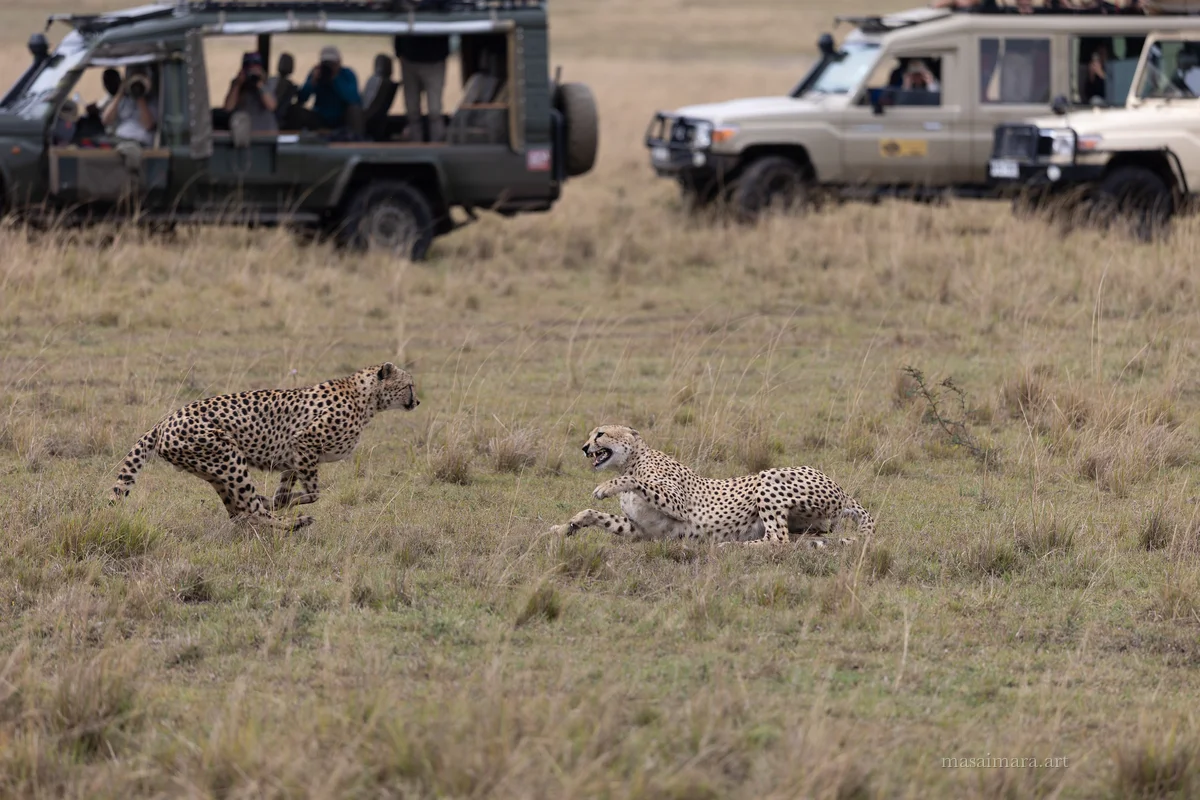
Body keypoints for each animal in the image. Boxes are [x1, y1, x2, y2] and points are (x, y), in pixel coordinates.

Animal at [110, 362, 419, 530]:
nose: (417, 401)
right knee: (251, 510)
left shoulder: (295, 458)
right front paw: (289, 503)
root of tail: (165, 419)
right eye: (410, 385)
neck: (365, 399)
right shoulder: (304, 443)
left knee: (240, 512)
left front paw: (278, 500)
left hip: (214, 470)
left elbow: (285, 494)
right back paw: (296, 524)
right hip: (228, 456)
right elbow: (314, 493)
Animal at [549, 425, 874, 548]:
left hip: (768, 478)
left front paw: (606, 487)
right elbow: (593, 514)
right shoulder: (641, 529)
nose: (584, 447)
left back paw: (731, 545)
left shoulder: (679, 504)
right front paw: (566, 527)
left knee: (777, 539)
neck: (632, 459)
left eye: (600, 434)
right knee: (793, 539)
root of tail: (844, 490)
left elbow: (635, 481)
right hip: (810, 524)